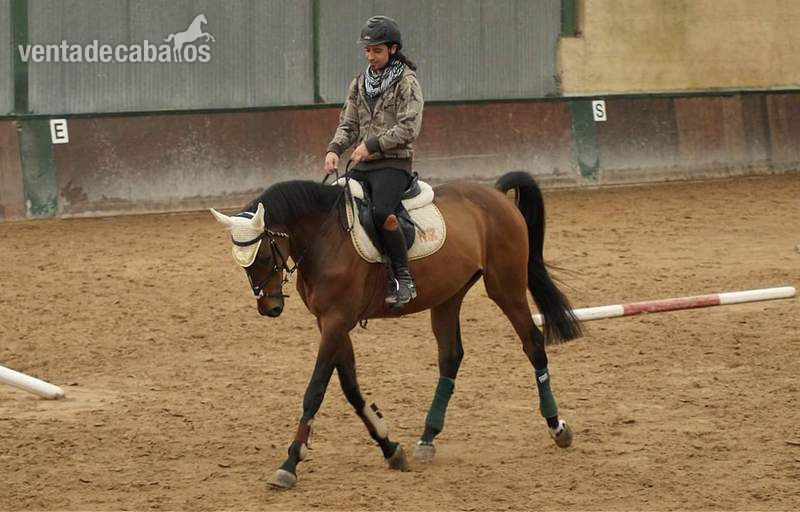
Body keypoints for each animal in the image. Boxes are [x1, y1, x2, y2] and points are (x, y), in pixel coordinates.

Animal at [209, 171, 582, 489]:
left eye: (261, 257)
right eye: (244, 265)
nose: (270, 308)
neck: (325, 236)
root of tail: (495, 195)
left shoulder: (336, 320)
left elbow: (315, 390)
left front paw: (289, 463)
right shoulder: (330, 322)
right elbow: (350, 386)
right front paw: (390, 447)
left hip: (506, 287)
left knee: (532, 343)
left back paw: (557, 427)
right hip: (449, 295)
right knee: (451, 356)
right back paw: (427, 437)